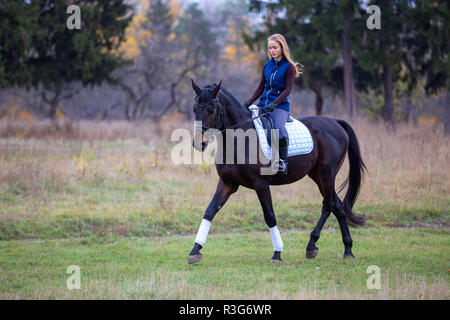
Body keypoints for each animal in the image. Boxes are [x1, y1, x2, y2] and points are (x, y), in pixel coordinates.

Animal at [188, 80, 368, 264]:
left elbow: (270, 216)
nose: (199, 143)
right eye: (195, 109)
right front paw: (195, 250)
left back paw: (316, 245)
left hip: (327, 174)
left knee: (329, 204)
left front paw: (277, 253)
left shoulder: (261, 185)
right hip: (317, 176)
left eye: (212, 109)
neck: (239, 139)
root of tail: (335, 122)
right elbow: (209, 211)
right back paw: (345, 249)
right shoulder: (227, 183)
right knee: (336, 205)